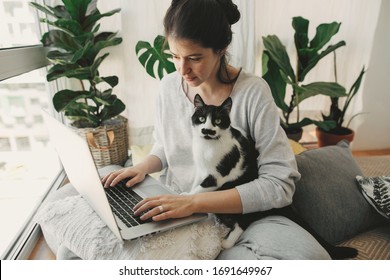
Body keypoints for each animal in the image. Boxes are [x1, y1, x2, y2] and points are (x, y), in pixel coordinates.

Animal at [190, 93, 358, 260]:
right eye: (201, 118)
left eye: (218, 121)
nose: (207, 130)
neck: (208, 146)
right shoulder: (201, 171)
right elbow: (196, 184)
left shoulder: (220, 174)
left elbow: (197, 190)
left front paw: (184, 199)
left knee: (243, 222)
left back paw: (226, 241)